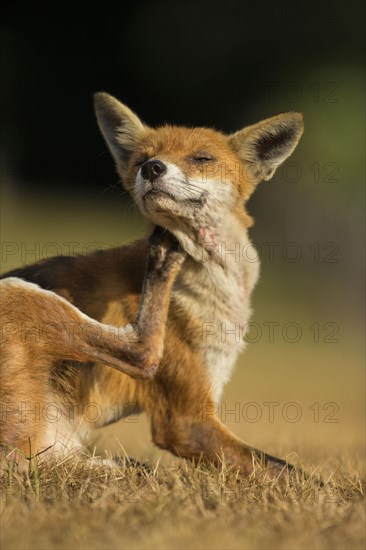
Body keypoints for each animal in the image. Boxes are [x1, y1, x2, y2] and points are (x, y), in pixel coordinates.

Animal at [0, 92, 304, 476]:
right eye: (143, 159)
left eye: (202, 158)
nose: (153, 169)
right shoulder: (186, 420)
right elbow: (297, 474)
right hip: (18, 293)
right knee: (141, 352)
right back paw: (161, 259)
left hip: (62, 448)